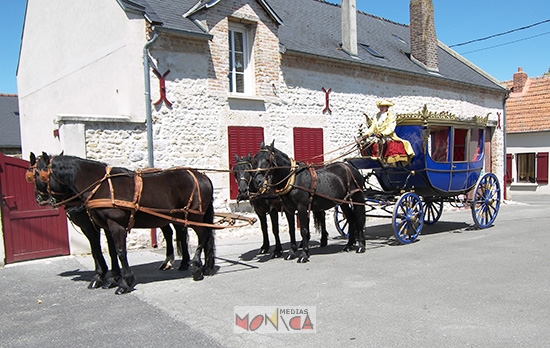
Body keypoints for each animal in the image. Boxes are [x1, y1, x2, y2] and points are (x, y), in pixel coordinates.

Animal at [29, 154, 216, 292]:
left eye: (38, 175)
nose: (38, 199)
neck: (100, 185)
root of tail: (202, 176)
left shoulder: (112, 225)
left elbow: (119, 251)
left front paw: (123, 282)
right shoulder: (105, 226)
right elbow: (109, 252)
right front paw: (111, 279)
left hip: (194, 217)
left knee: (203, 236)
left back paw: (197, 268)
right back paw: (200, 266)